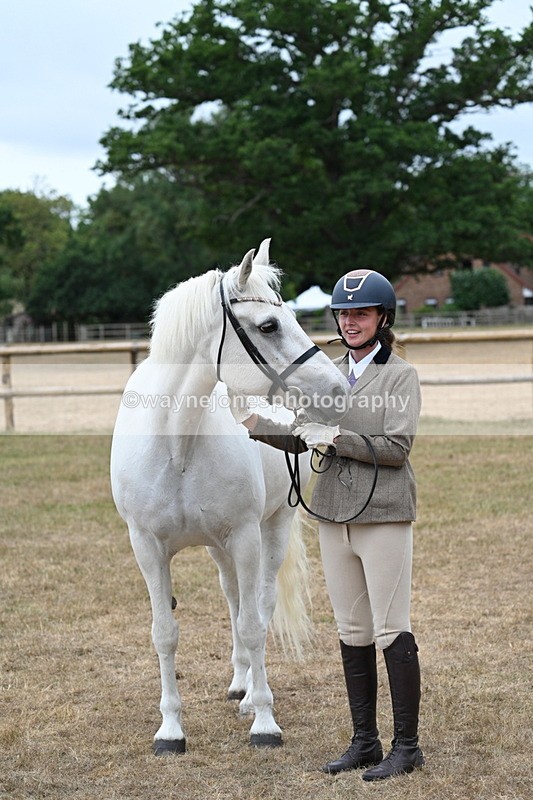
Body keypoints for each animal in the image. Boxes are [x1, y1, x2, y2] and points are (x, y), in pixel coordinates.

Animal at [110, 239, 348, 755]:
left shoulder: (245, 537)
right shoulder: (147, 548)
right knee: (234, 598)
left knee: (257, 605)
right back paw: (241, 685)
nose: (338, 389)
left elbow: (254, 625)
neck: (177, 445)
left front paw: (264, 722)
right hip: (219, 549)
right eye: (268, 325)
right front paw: (170, 730)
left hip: (269, 531)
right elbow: (165, 634)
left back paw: (251, 695)